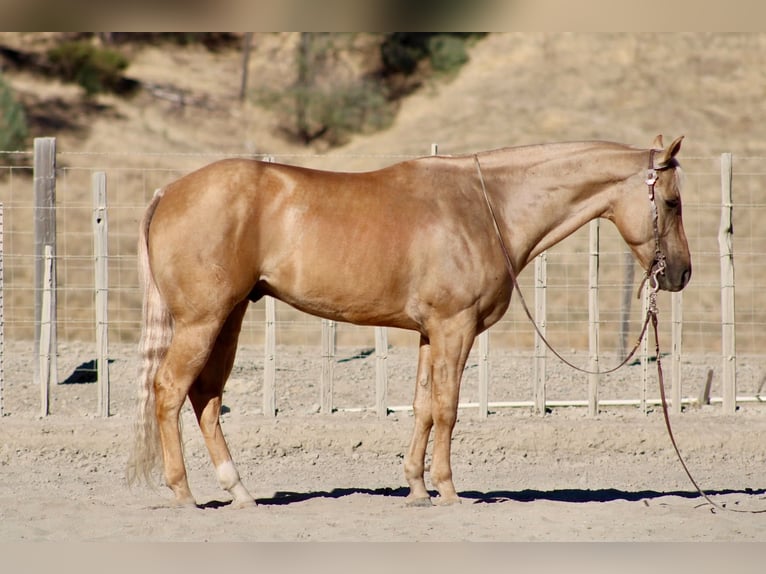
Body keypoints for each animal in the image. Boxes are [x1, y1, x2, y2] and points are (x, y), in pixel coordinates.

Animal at [127, 135, 691, 508]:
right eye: (672, 201)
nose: (681, 273)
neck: (487, 206)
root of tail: (168, 192)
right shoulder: (454, 328)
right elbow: (447, 409)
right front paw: (447, 489)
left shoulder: (428, 334)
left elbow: (422, 407)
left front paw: (417, 488)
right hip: (203, 320)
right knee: (170, 390)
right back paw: (184, 494)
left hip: (231, 315)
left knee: (205, 397)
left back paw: (239, 491)